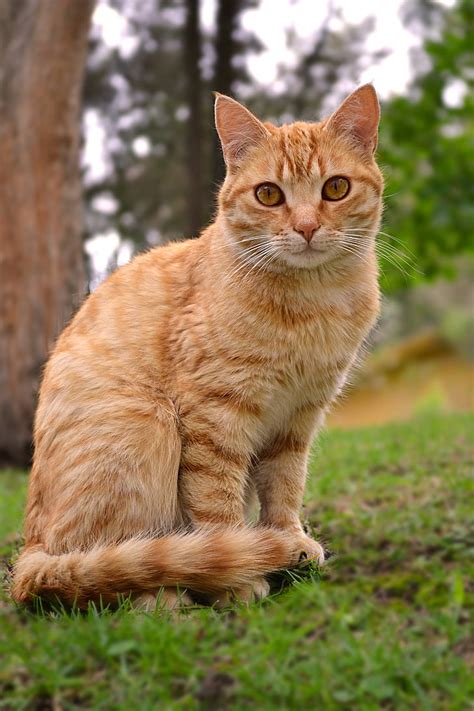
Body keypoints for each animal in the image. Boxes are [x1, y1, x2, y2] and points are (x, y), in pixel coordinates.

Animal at [11, 82, 384, 608]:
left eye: (335, 188)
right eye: (269, 194)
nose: (307, 227)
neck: (313, 303)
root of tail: (29, 548)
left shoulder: (297, 419)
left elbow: (285, 487)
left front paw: (286, 538)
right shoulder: (215, 414)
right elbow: (217, 503)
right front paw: (240, 575)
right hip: (147, 425)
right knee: (98, 573)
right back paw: (167, 596)